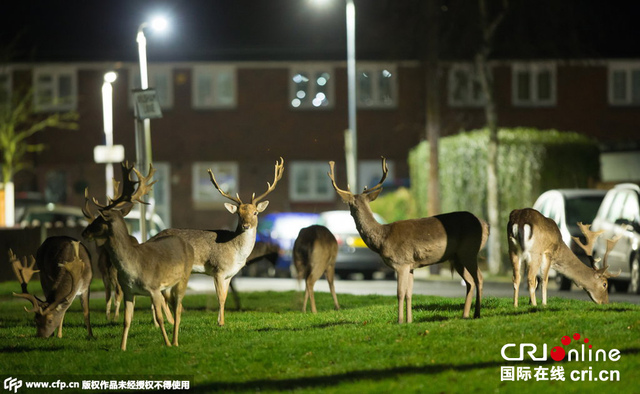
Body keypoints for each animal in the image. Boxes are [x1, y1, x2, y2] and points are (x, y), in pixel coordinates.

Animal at [81, 163, 194, 350]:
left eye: (98, 221)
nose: (84, 233)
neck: (132, 268)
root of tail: (188, 244)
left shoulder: (154, 288)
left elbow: (160, 319)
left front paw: (167, 343)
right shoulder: (128, 291)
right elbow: (127, 320)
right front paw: (122, 347)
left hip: (183, 278)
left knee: (178, 309)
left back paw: (175, 341)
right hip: (167, 287)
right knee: (174, 306)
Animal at [154, 157, 284, 326]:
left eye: (255, 212)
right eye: (238, 213)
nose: (246, 225)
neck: (236, 253)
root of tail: (151, 238)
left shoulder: (230, 274)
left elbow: (226, 297)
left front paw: (222, 321)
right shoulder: (218, 269)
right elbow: (220, 298)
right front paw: (220, 323)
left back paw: (161, 322)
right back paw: (170, 321)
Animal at [328, 157, 488, 324]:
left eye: (349, 204)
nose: (348, 212)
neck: (383, 238)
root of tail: (485, 225)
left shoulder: (401, 262)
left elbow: (400, 293)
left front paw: (399, 321)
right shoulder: (411, 265)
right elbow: (409, 293)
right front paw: (409, 321)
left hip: (469, 251)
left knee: (479, 278)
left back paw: (477, 314)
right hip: (456, 257)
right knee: (470, 282)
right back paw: (465, 315)